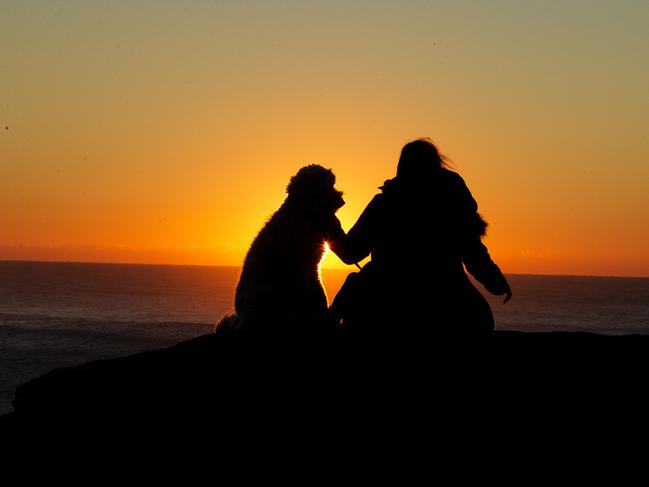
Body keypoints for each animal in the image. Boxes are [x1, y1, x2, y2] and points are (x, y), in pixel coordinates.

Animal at [228, 164, 346, 336]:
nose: (342, 200)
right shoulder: (297, 267)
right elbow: (302, 295)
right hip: (266, 290)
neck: (303, 212)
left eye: (332, 182)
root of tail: (240, 316)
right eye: (325, 184)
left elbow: (318, 291)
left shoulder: (312, 267)